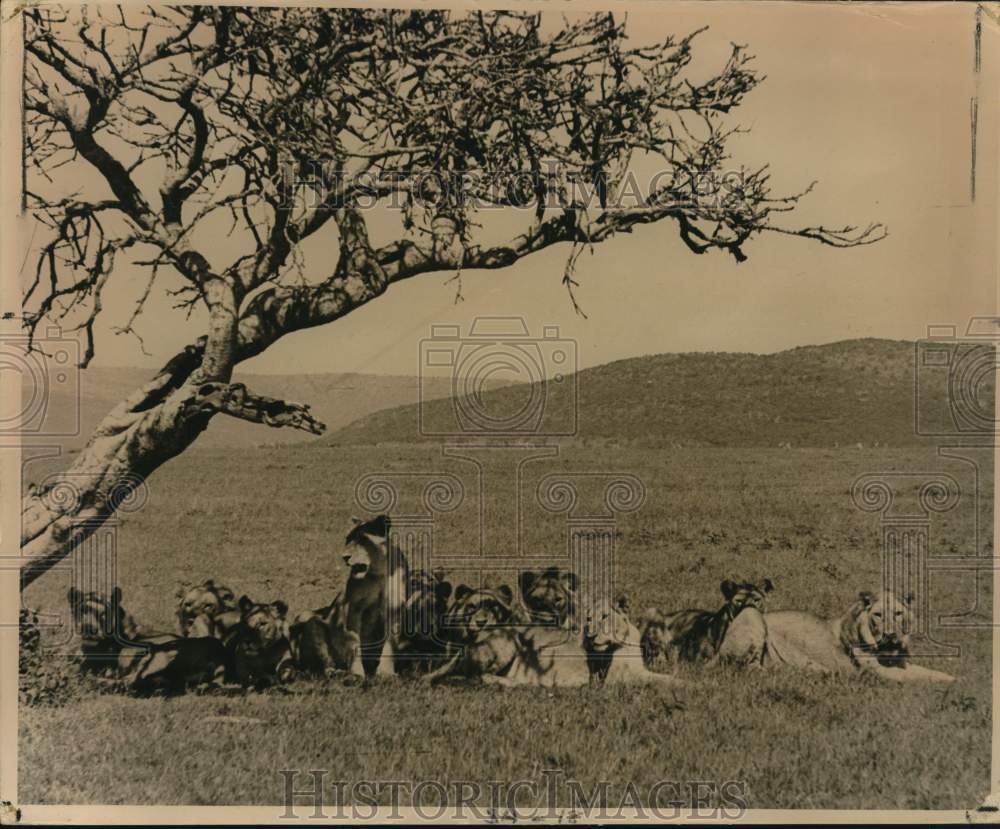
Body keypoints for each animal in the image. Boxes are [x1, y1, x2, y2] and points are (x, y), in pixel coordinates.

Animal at [341, 514, 409, 679]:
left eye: (362, 540)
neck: (378, 572)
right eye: (348, 540)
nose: (344, 557)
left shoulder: (395, 608)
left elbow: (390, 642)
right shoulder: (353, 607)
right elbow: (355, 641)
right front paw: (357, 672)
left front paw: (386, 672)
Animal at [718, 590, 956, 683]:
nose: (890, 634)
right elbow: (918, 677)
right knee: (748, 668)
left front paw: (956, 678)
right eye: (878, 615)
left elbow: (930, 672)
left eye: (898, 613)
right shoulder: (880, 673)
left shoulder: (900, 664)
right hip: (751, 613)